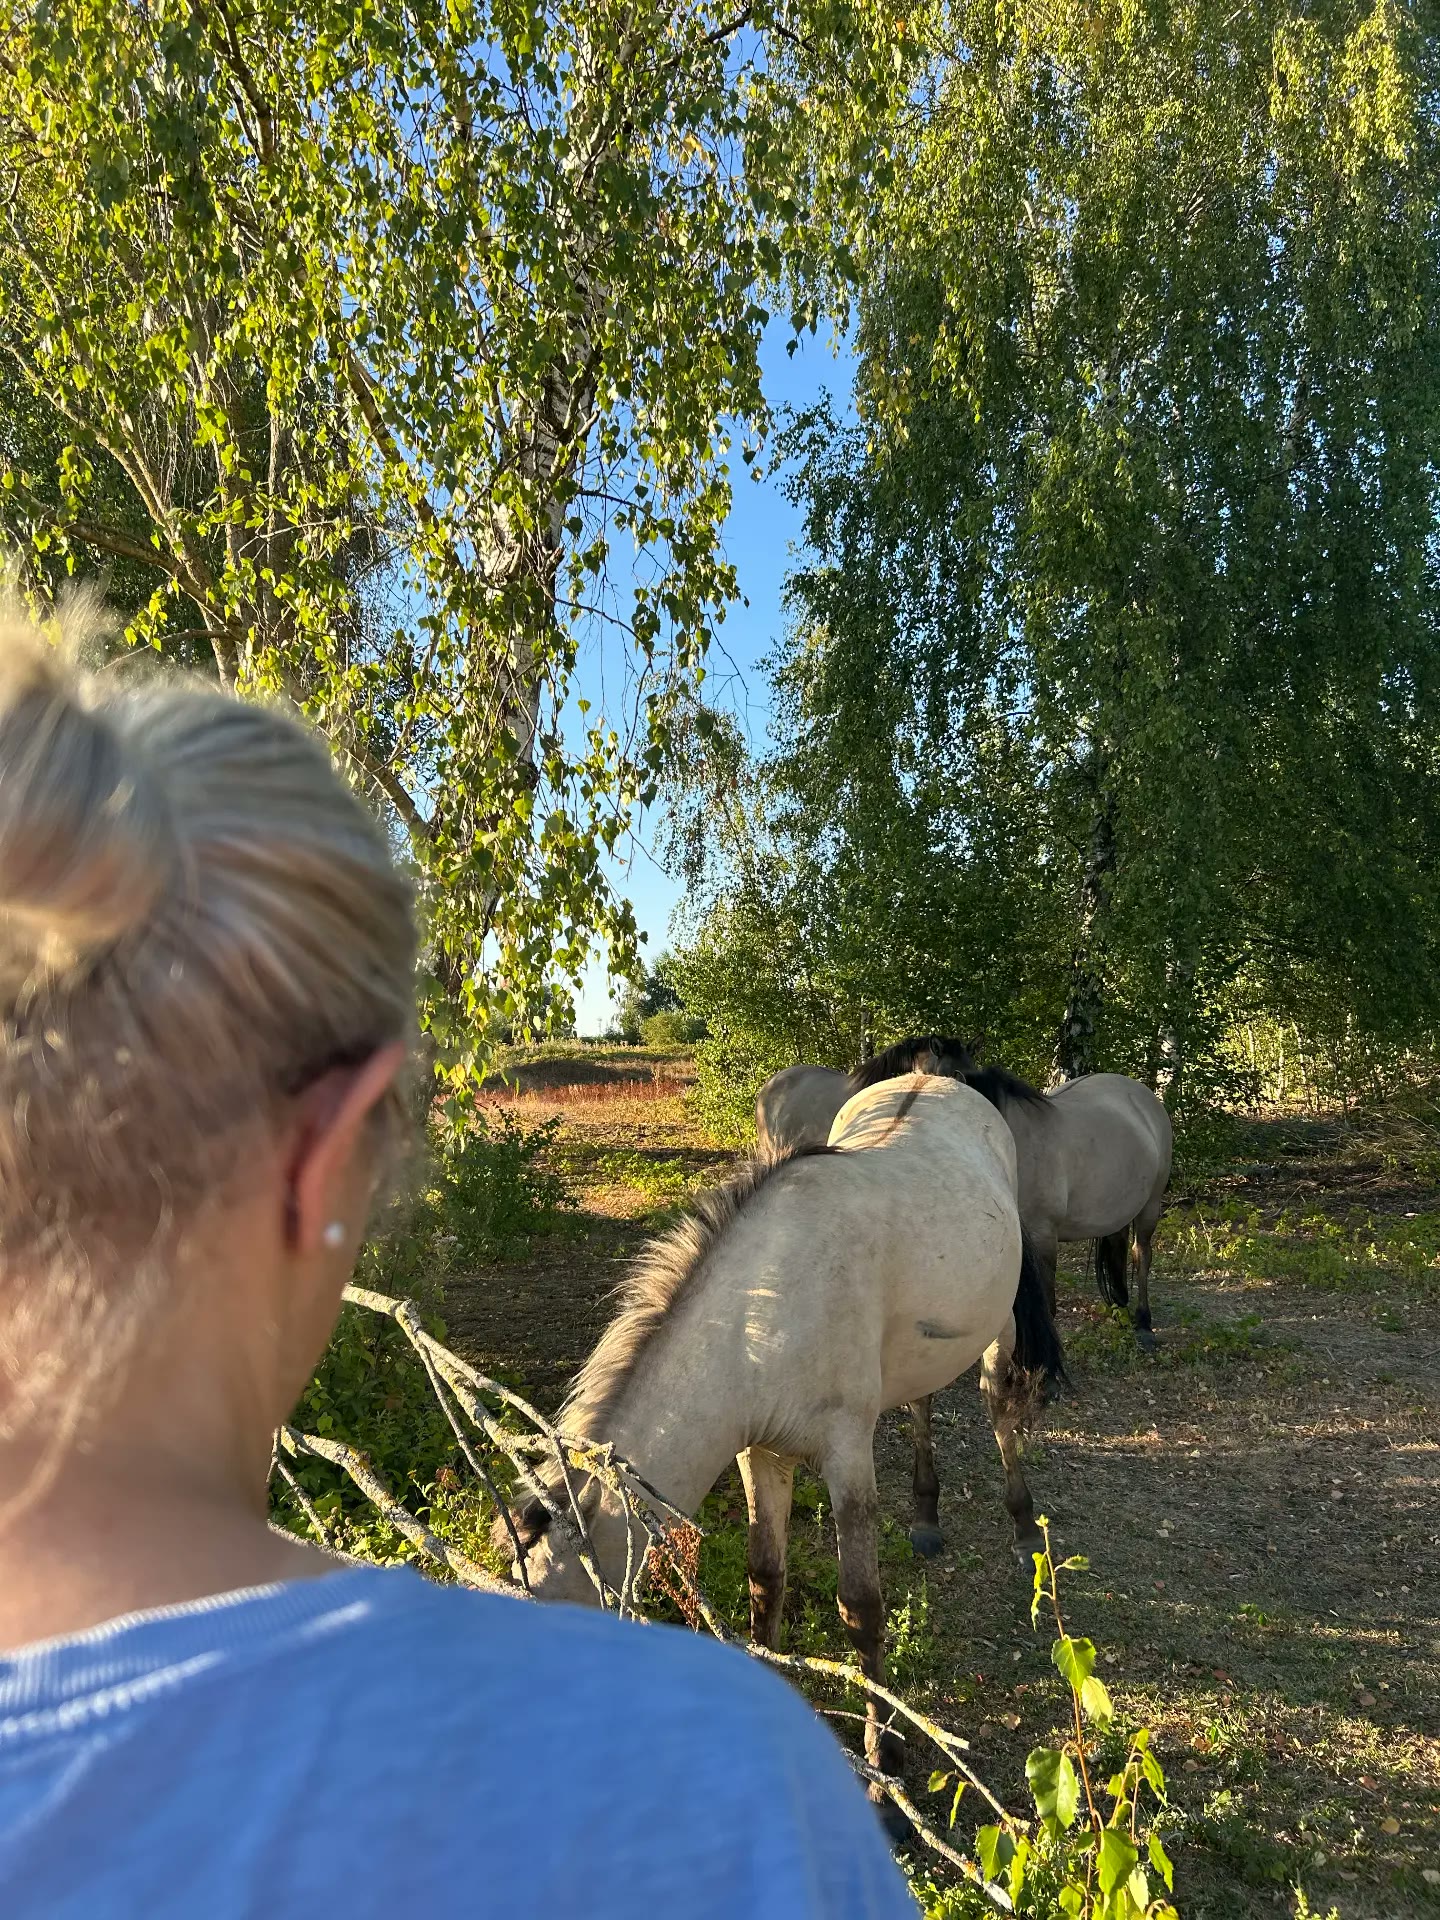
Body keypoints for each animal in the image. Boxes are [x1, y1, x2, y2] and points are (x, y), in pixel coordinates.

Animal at [496, 1075, 1065, 1806]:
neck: (760, 1318)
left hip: (997, 1331)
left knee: (998, 1410)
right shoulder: (760, 1454)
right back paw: (926, 1518)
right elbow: (765, 1578)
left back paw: (1023, 1528)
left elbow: (861, 1607)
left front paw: (884, 1767)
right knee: (921, 1401)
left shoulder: (846, 1456)